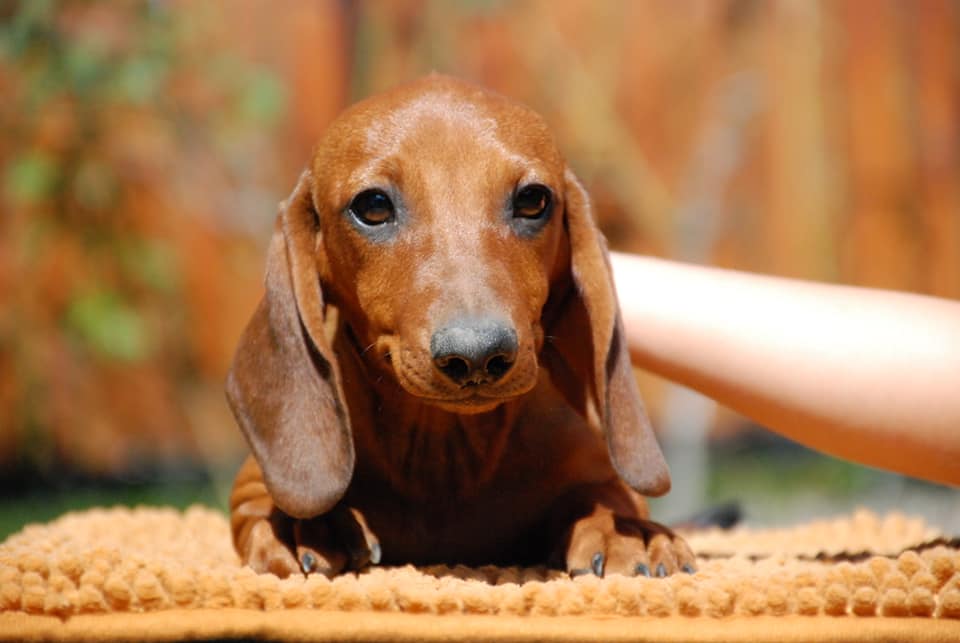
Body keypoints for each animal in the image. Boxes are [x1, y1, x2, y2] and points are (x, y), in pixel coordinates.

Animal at [231, 74, 696, 580]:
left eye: (533, 200)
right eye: (372, 206)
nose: (477, 356)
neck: (445, 453)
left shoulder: (599, 471)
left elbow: (605, 496)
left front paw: (626, 530)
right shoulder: (250, 484)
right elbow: (263, 507)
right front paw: (306, 526)